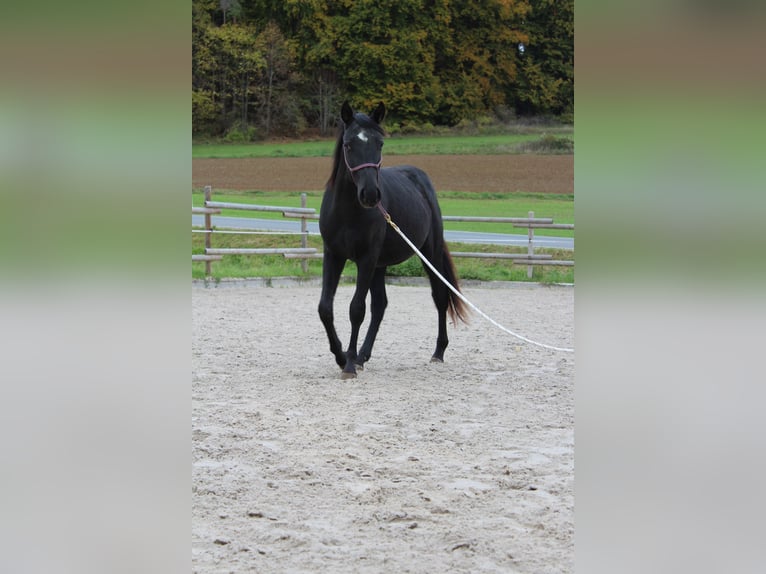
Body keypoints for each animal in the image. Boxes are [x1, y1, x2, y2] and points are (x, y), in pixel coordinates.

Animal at [318, 101, 468, 379]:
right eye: (348, 144)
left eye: (380, 144)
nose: (370, 195)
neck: (348, 210)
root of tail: (420, 178)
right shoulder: (334, 255)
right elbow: (325, 308)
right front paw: (341, 356)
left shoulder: (366, 259)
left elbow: (356, 309)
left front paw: (349, 364)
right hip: (380, 264)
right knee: (380, 305)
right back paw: (363, 356)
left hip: (428, 253)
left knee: (439, 297)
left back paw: (438, 351)